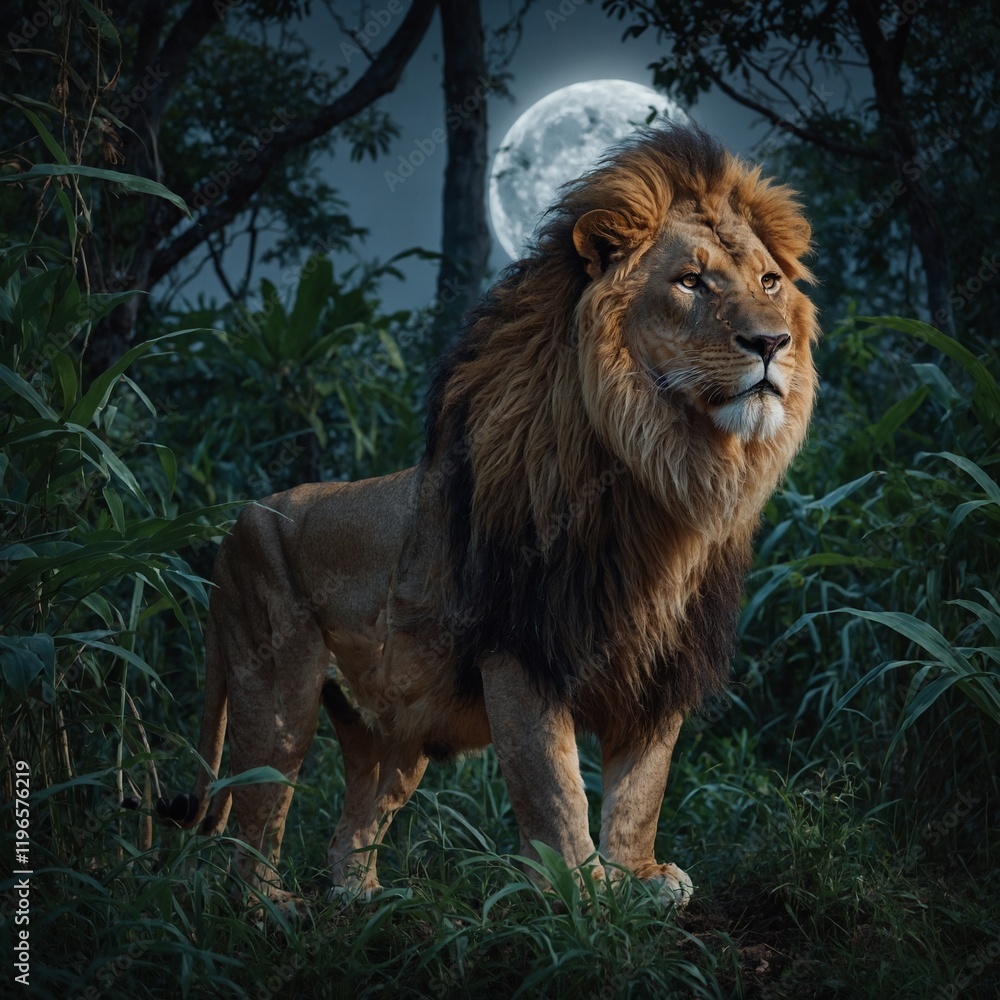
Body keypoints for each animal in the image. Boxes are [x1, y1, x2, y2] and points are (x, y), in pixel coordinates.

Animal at [162, 123, 818, 909]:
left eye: (769, 282)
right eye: (691, 282)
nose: (772, 343)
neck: (660, 477)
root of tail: (234, 527)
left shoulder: (662, 658)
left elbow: (644, 783)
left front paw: (638, 876)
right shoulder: (520, 642)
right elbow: (552, 782)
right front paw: (580, 888)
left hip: (394, 726)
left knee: (354, 813)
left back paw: (363, 898)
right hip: (275, 679)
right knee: (256, 809)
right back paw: (270, 907)